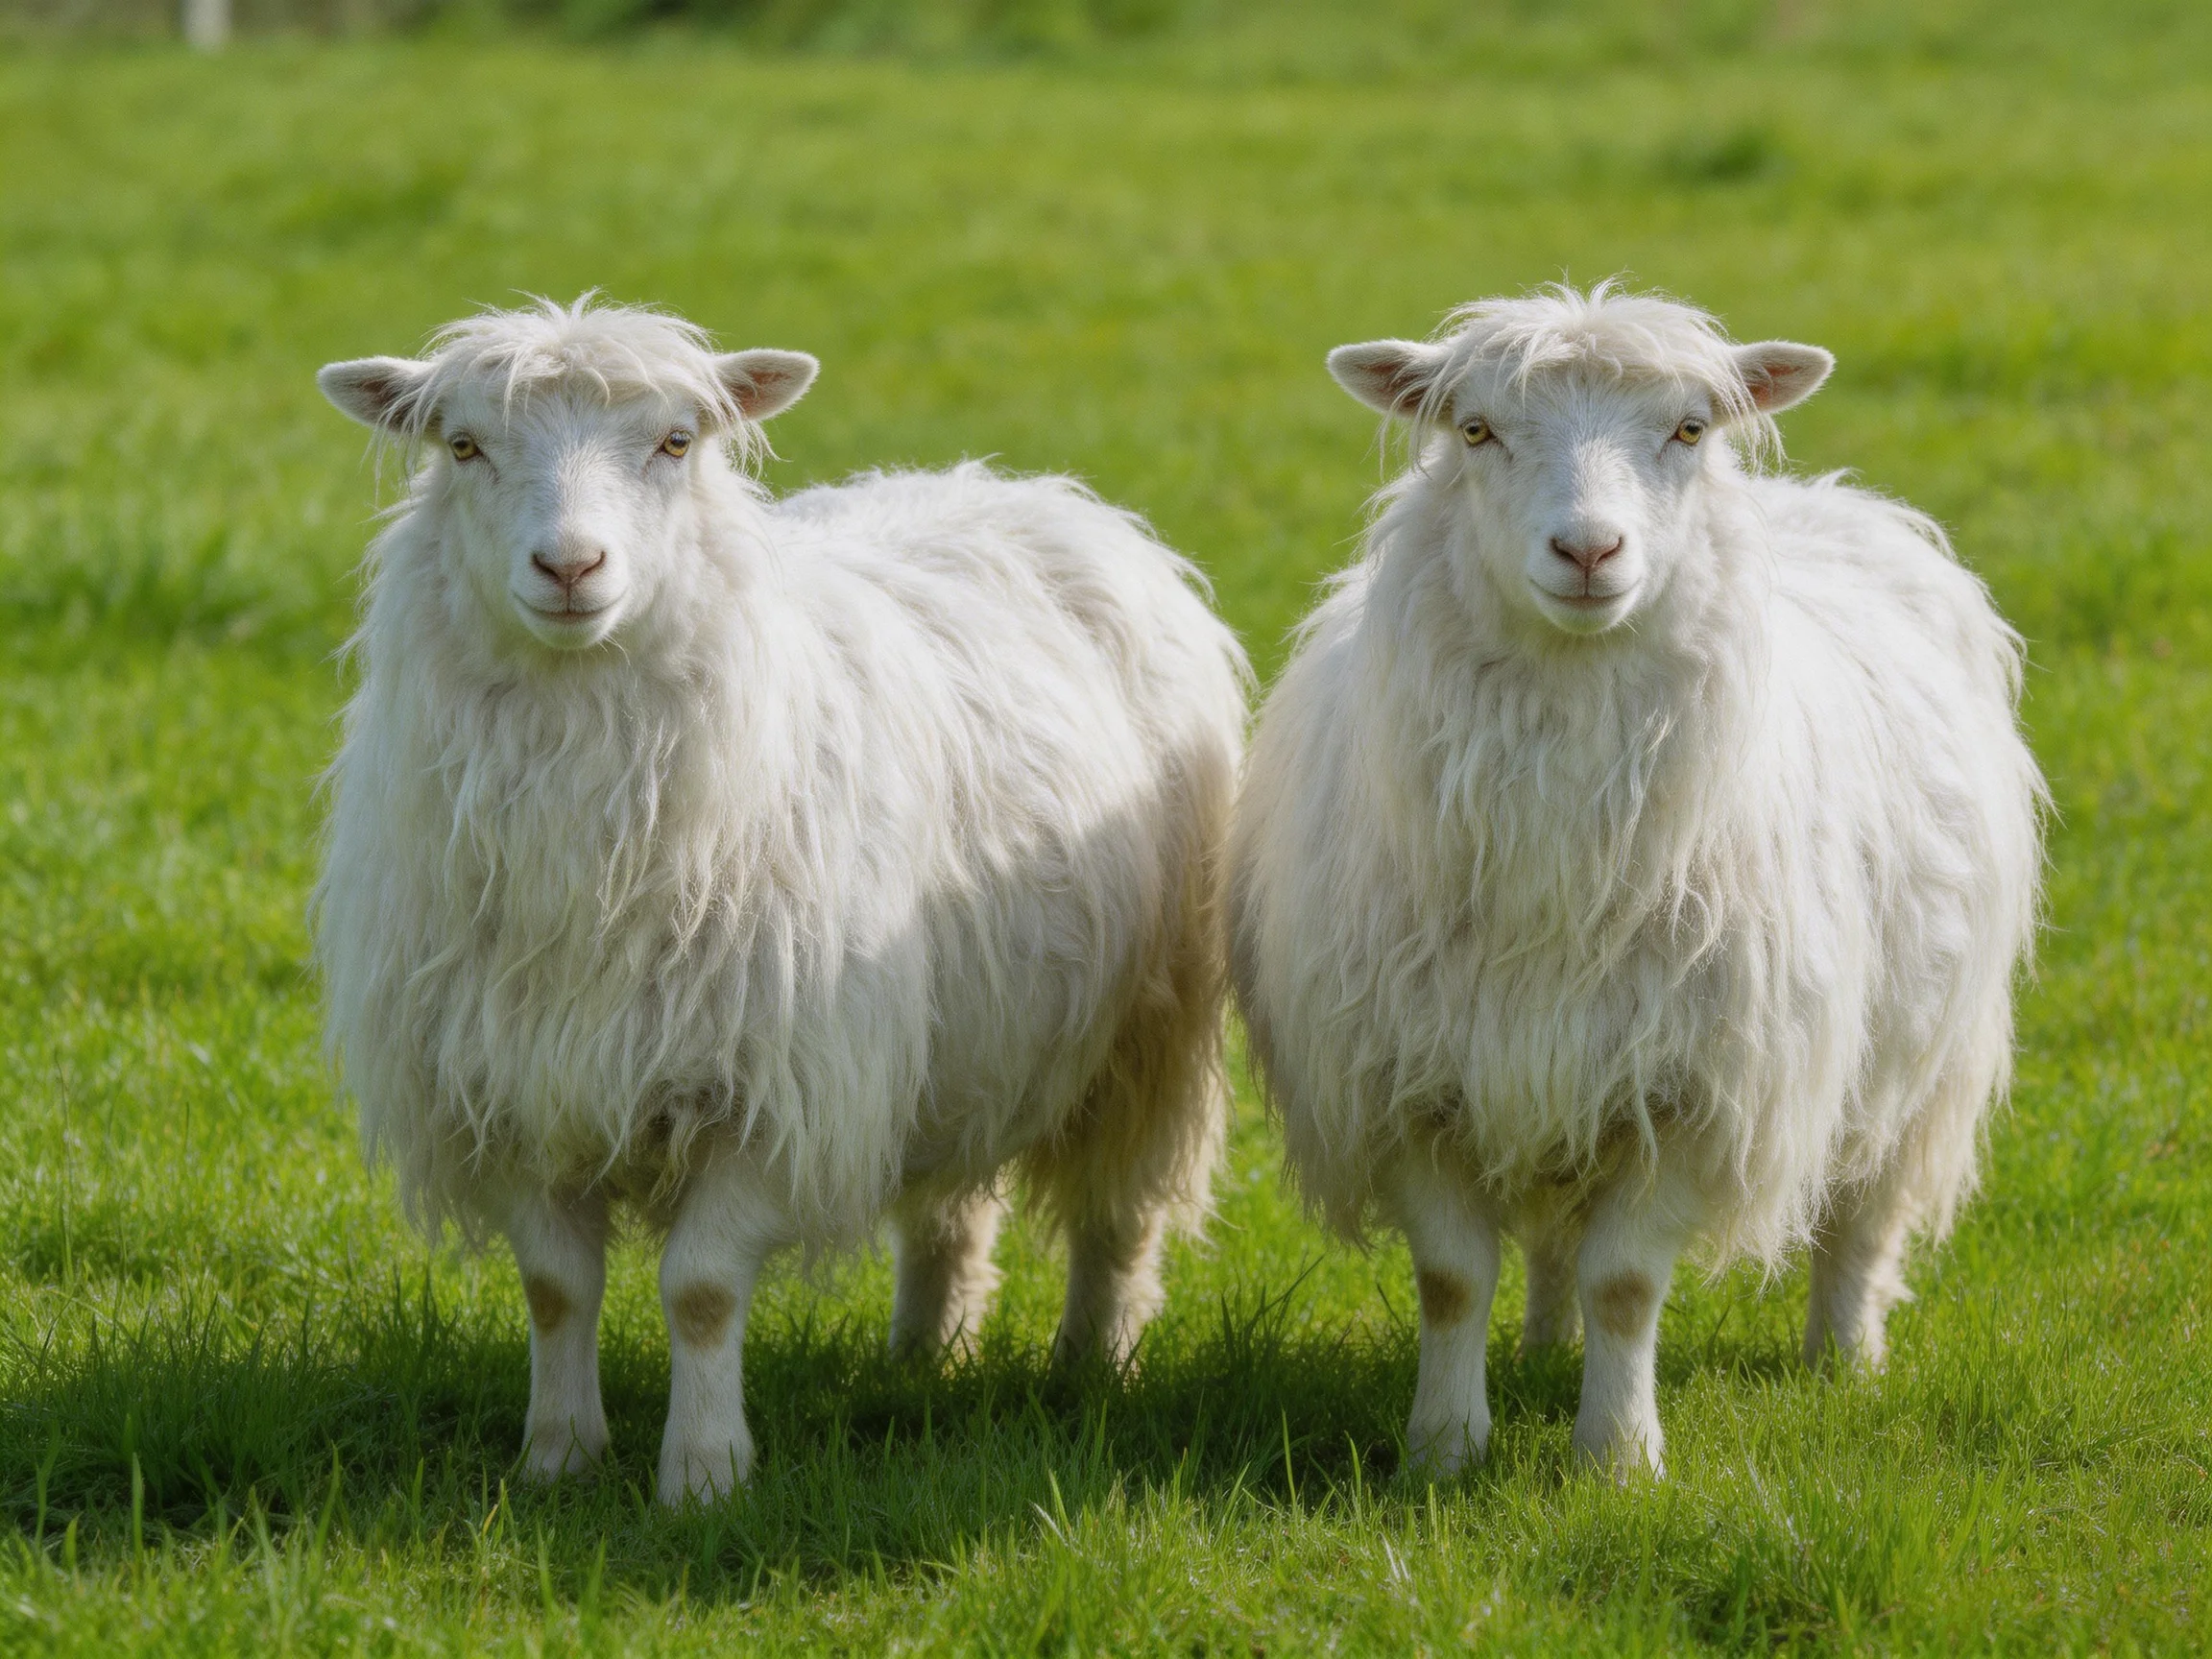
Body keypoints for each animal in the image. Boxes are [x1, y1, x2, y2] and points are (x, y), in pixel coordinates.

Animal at [312, 296, 1248, 1502]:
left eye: (676, 442)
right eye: (463, 446)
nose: (570, 566)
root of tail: (1026, 489)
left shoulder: (769, 1085)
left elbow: (703, 1289)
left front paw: (703, 1476)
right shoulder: (509, 1087)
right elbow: (555, 1289)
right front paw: (558, 1457)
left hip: (1147, 1030)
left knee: (1118, 1218)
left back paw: (1093, 1369)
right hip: (953, 1037)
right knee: (950, 1208)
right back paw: (925, 1357)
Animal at [1228, 285, 2044, 1479]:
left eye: (1691, 430)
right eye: (1475, 429)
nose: (1588, 548)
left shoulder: (1694, 1089)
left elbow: (1624, 1284)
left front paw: (1616, 1460)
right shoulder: (1414, 1080)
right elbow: (1452, 1279)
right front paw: (1443, 1450)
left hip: (1917, 1059)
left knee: (1860, 1214)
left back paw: (1844, 1359)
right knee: (1553, 1240)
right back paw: (1536, 1348)